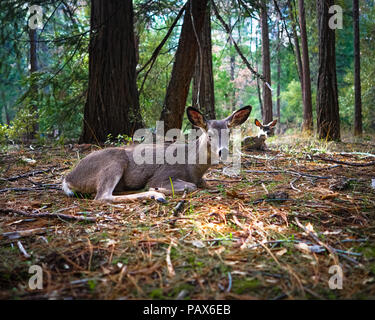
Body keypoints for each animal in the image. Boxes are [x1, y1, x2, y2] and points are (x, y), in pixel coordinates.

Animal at [62, 106, 253, 204]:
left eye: (229, 133)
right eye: (210, 135)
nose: (223, 152)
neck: (192, 167)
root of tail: (68, 178)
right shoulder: (164, 175)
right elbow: (190, 186)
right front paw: (157, 189)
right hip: (114, 162)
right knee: (101, 197)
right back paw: (155, 195)